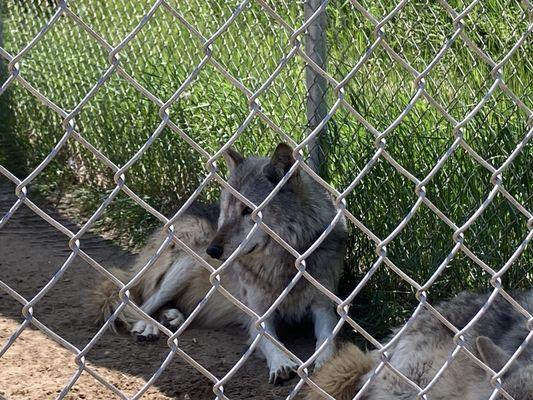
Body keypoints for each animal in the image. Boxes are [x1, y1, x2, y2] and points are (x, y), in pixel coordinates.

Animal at [91, 142, 348, 382]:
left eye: (249, 211)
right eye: (226, 209)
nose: (212, 250)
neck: (284, 263)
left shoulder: (323, 305)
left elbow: (328, 337)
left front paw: (327, 362)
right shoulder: (258, 316)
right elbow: (269, 341)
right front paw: (281, 363)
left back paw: (172, 317)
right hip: (189, 264)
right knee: (140, 304)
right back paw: (148, 325)